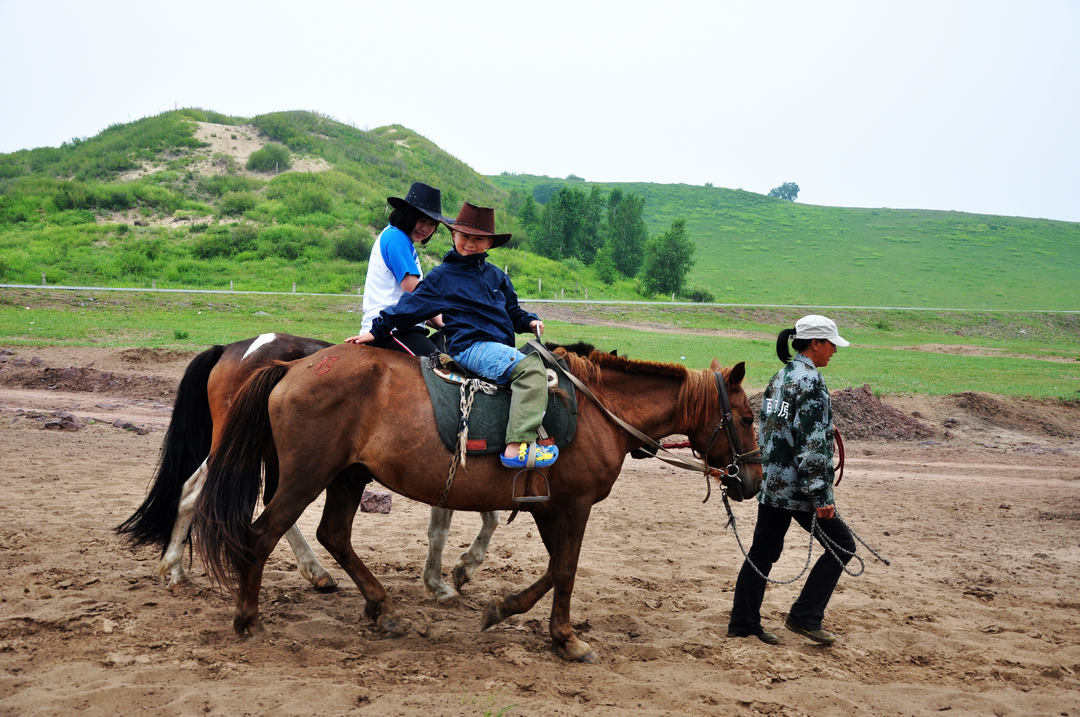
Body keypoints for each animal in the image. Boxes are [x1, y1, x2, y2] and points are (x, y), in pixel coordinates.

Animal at [196, 345, 760, 665]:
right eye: (748, 417)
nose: (753, 480)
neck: (602, 411)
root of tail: (292, 365)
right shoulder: (573, 505)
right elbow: (566, 569)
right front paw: (566, 639)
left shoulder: (547, 507)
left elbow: (554, 567)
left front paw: (502, 609)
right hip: (307, 476)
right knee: (262, 535)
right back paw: (248, 619)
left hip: (348, 477)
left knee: (333, 534)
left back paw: (382, 607)